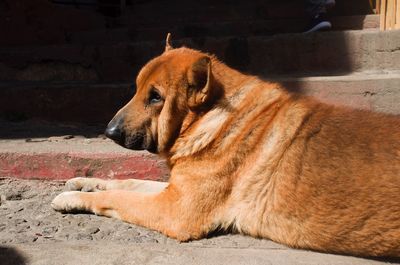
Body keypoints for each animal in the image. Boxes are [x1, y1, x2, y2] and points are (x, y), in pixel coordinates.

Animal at [52, 34, 400, 255]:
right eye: (137, 89)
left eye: (156, 97)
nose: (108, 132)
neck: (211, 119)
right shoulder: (174, 190)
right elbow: (126, 183)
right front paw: (83, 182)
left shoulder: (174, 209)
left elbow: (116, 198)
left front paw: (73, 198)